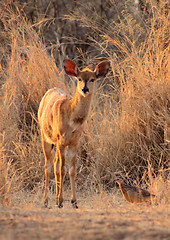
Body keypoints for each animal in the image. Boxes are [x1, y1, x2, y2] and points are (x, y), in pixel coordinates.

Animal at [38, 58, 109, 208]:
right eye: (79, 78)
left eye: (92, 79)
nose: (85, 89)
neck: (72, 120)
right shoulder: (61, 141)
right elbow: (62, 169)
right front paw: (60, 201)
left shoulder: (74, 143)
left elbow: (72, 170)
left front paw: (74, 201)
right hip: (46, 139)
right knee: (48, 165)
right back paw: (46, 201)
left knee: (55, 163)